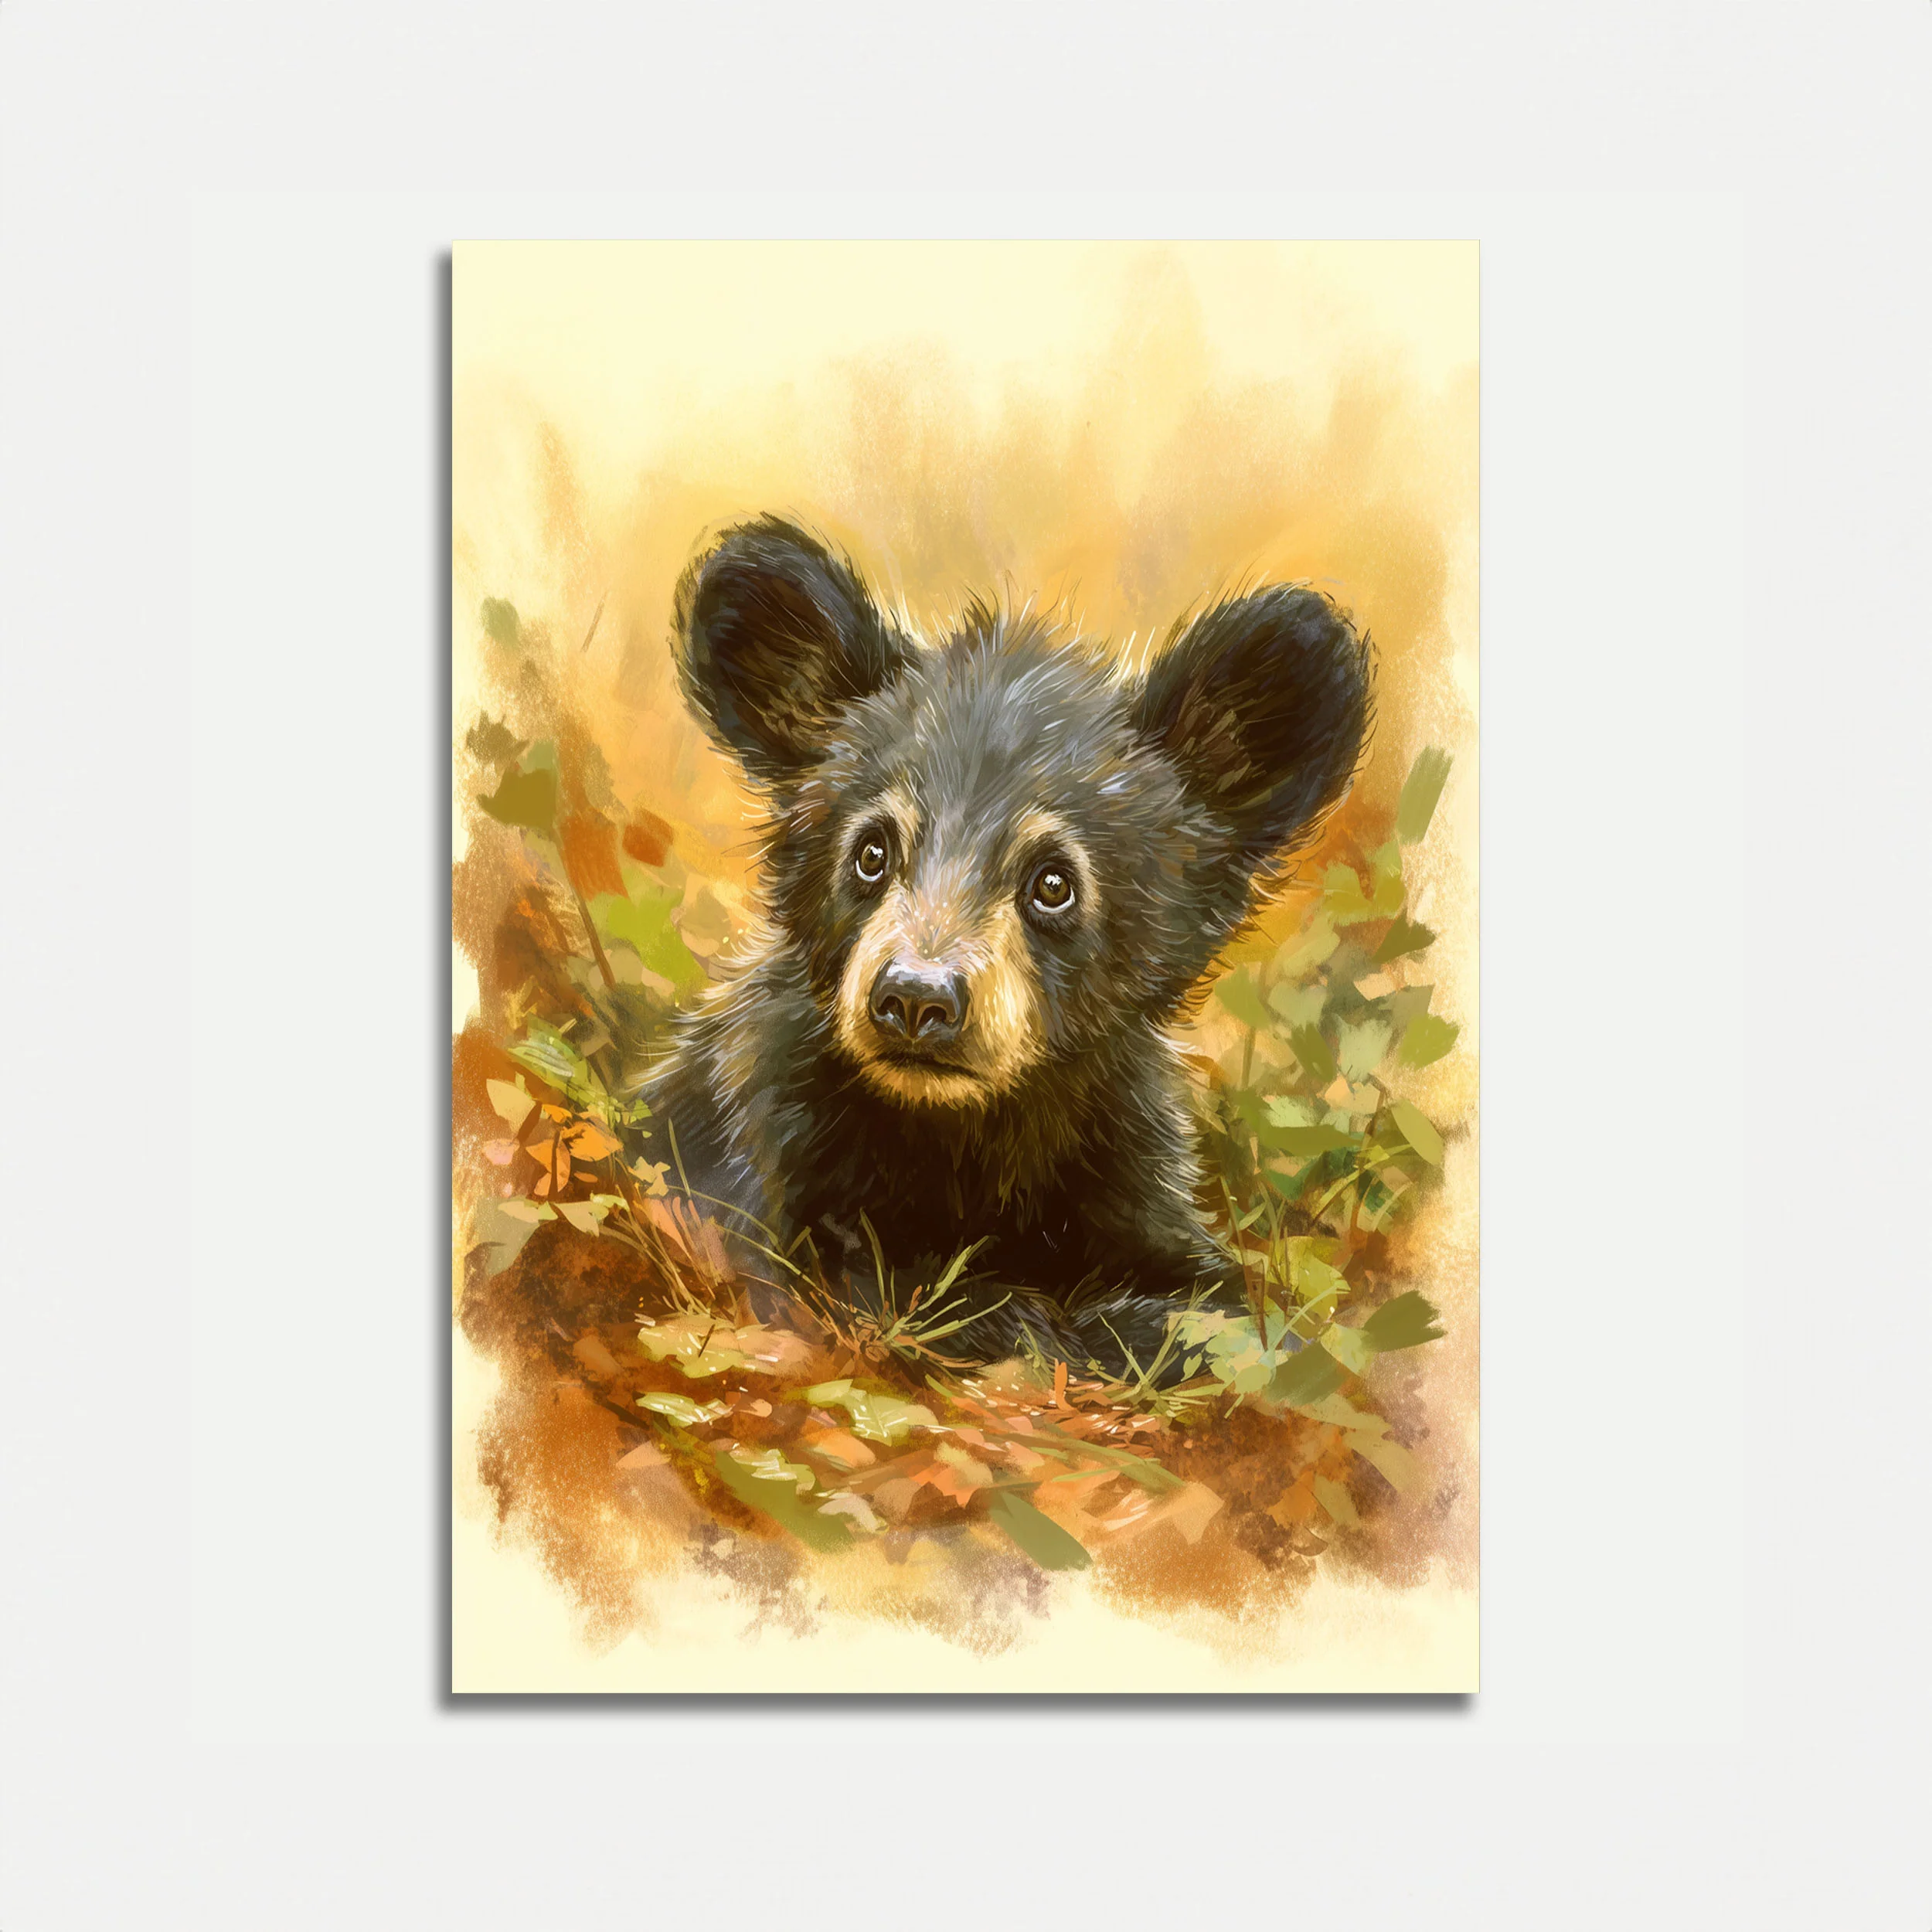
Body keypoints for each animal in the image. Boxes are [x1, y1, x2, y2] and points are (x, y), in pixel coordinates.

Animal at [648, 515, 1373, 1378]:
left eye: (1052, 882)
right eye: (871, 851)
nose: (915, 999)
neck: (972, 1137)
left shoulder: (1123, 1168)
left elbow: (1212, 1298)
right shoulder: (776, 1158)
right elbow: (877, 1277)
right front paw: (1035, 1322)